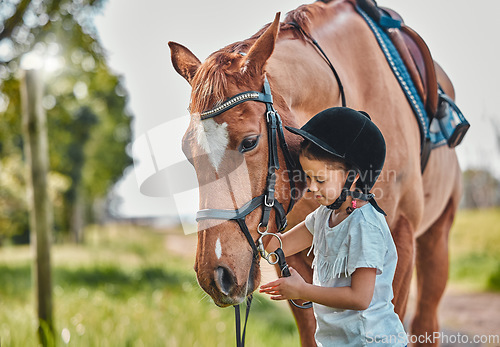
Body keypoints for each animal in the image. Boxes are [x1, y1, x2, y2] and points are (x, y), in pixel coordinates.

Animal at [167, 0, 460, 346]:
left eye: (249, 142)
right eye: (187, 151)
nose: (215, 276)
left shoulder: (400, 236)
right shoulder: (289, 247)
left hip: (435, 238)